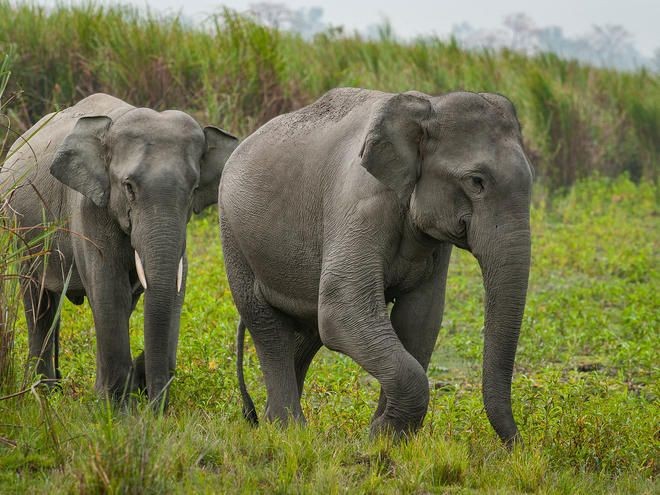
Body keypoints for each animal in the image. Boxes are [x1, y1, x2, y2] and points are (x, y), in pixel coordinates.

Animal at [1, 93, 238, 406]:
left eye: (194, 188)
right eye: (128, 187)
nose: (154, 406)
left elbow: (171, 286)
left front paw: (118, 393)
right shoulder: (88, 208)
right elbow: (108, 289)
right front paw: (113, 404)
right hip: (21, 232)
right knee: (39, 303)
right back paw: (45, 392)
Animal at [220, 87, 532, 444]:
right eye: (476, 181)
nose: (518, 446)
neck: (428, 106)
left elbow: (419, 319)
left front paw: (385, 436)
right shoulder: (360, 205)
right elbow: (343, 310)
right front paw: (380, 435)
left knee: (308, 329)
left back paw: (277, 422)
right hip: (233, 234)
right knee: (266, 323)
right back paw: (288, 429)